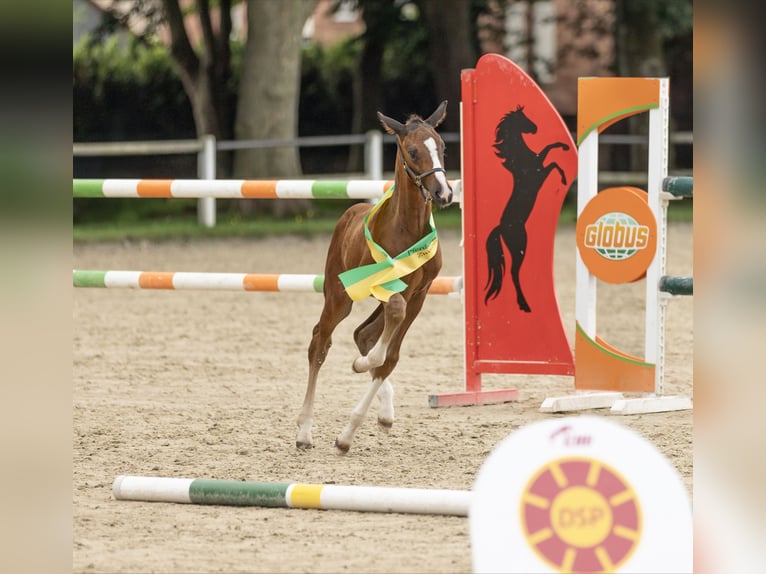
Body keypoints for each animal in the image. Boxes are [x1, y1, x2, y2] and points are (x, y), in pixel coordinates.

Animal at [296, 101, 452, 453]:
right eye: (412, 151)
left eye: (443, 147)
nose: (443, 193)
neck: (407, 229)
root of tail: (349, 213)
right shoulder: (388, 287)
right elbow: (388, 330)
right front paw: (360, 366)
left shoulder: (419, 293)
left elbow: (389, 357)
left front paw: (348, 433)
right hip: (338, 295)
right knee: (319, 343)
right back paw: (305, 431)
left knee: (363, 334)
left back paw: (384, 412)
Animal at [484, 105, 569, 311]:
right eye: (523, 119)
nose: (536, 128)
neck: (520, 156)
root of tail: (501, 228)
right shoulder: (540, 173)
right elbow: (554, 163)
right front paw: (564, 179)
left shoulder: (539, 161)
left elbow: (547, 150)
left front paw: (563, 147)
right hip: (520, 246)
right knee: (514, 272)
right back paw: (524, 305)